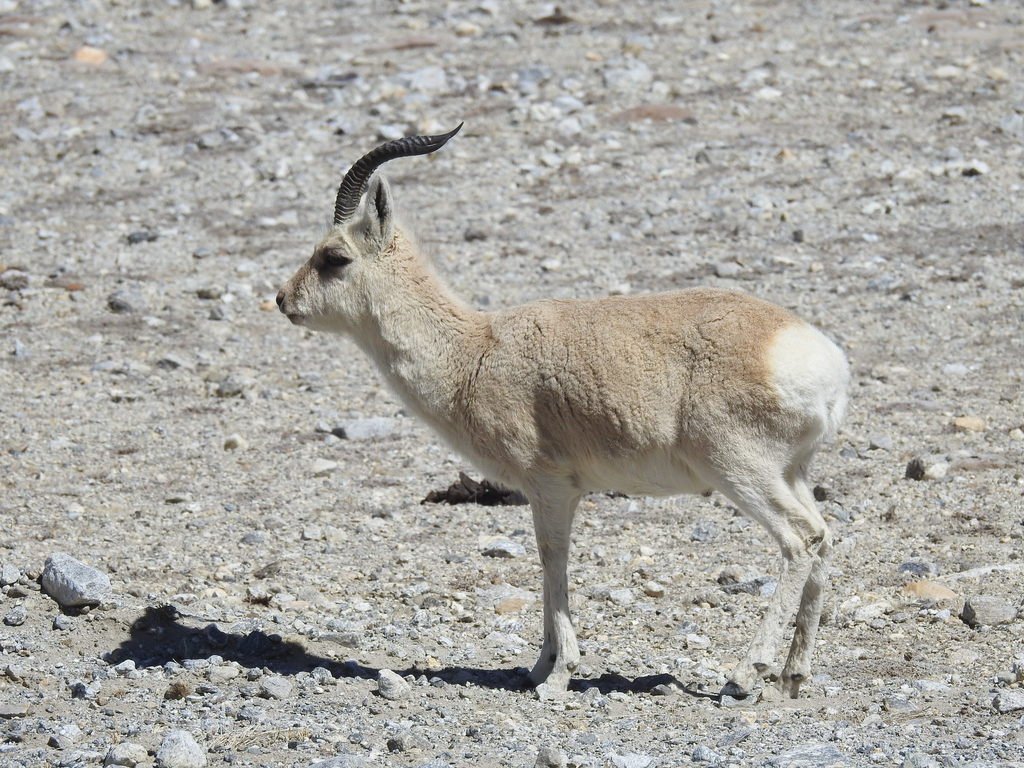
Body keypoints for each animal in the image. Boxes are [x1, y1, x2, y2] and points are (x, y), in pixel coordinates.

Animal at [276, 124, 849, 700]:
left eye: (334, 257)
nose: (282, 299)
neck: (474, 352)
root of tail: (822, 359)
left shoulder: (549, 485)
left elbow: (552, 555)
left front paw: (556, 675)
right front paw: (539, 666)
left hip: (738, 469)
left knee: (799, 540)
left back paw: (745, 673)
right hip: (790, 472)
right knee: (824, 537)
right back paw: (792, 677)